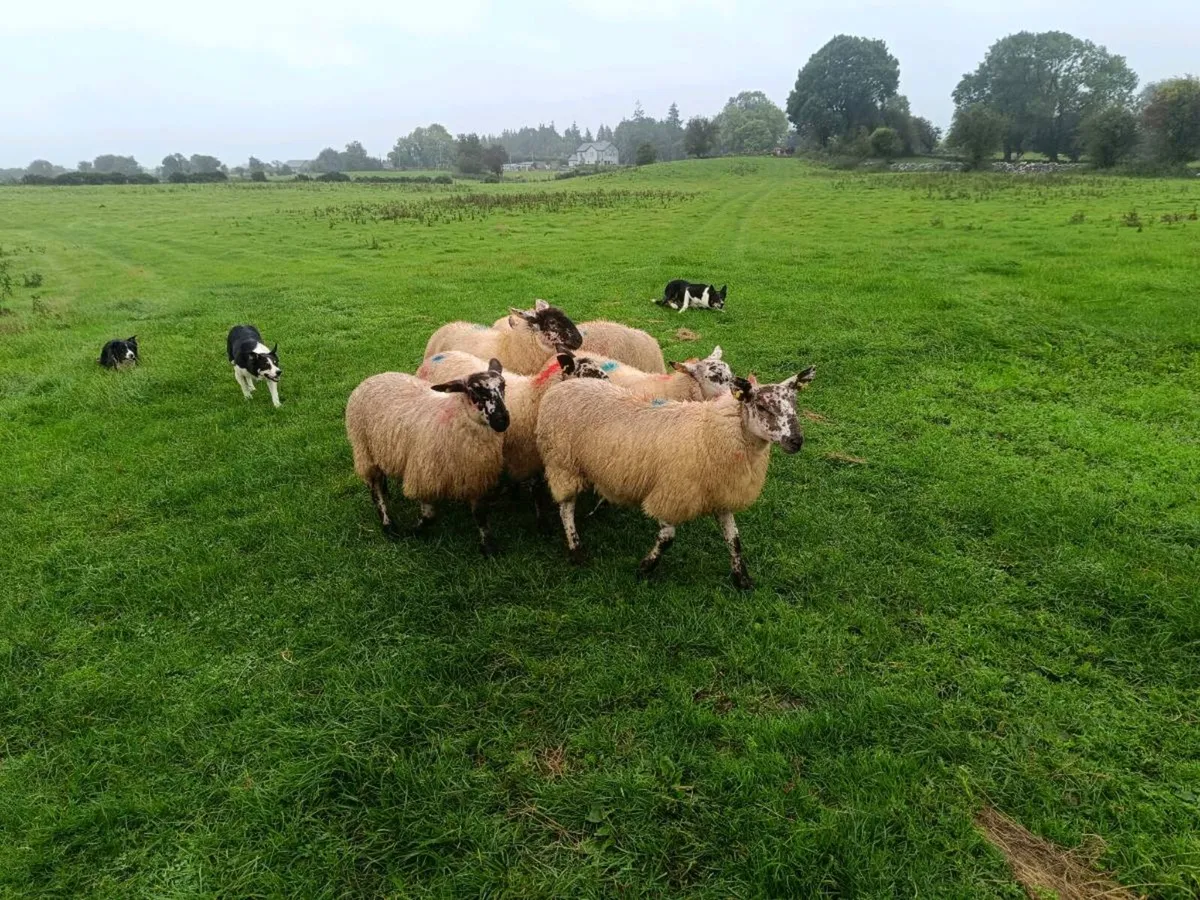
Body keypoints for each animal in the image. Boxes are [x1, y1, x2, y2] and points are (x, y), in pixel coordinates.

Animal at [345, 358, 511, 554]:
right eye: (474, 391)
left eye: (503, 386)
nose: (502, 421)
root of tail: (374, 377)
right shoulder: (424, 474)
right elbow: (429, 516)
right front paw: (412, 531)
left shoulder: (475, 476)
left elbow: (480, 514)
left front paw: (488, 545)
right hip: (364, 449)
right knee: (375, 487)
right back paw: (388, 524)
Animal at [536, 366, 816, 588]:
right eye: (761, 406)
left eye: (794, 405)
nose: (797, 441)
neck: (711, 432)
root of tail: (564, 384)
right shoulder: (670, 492)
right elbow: (667, 538)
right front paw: (645, 567)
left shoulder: (721, 494)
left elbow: (734, 540)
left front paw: (742, 579)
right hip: (562, 464)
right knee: (565, 508)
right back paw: (576, 548)